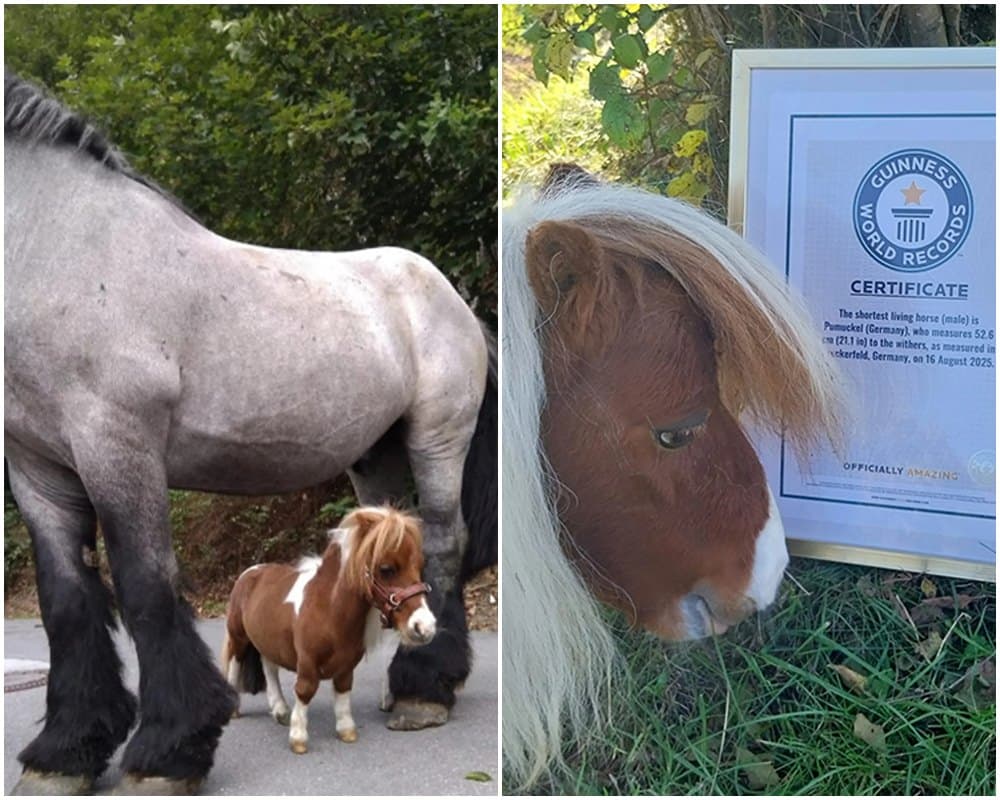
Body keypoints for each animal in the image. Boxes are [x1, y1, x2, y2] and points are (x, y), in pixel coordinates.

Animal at [221, 506, 434, 754]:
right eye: (386, 568)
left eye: (420, 566)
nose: (425, 626)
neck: (329, 609)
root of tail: (250, 572)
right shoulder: (307, 661)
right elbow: (305, 690)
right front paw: (298, 737)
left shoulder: (346, 664)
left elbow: (343, 690)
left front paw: (346, 730)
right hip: (239, 636)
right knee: (235, 662)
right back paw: (234, 709)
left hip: (267, 640)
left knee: (269, 668)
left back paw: (280, 710)